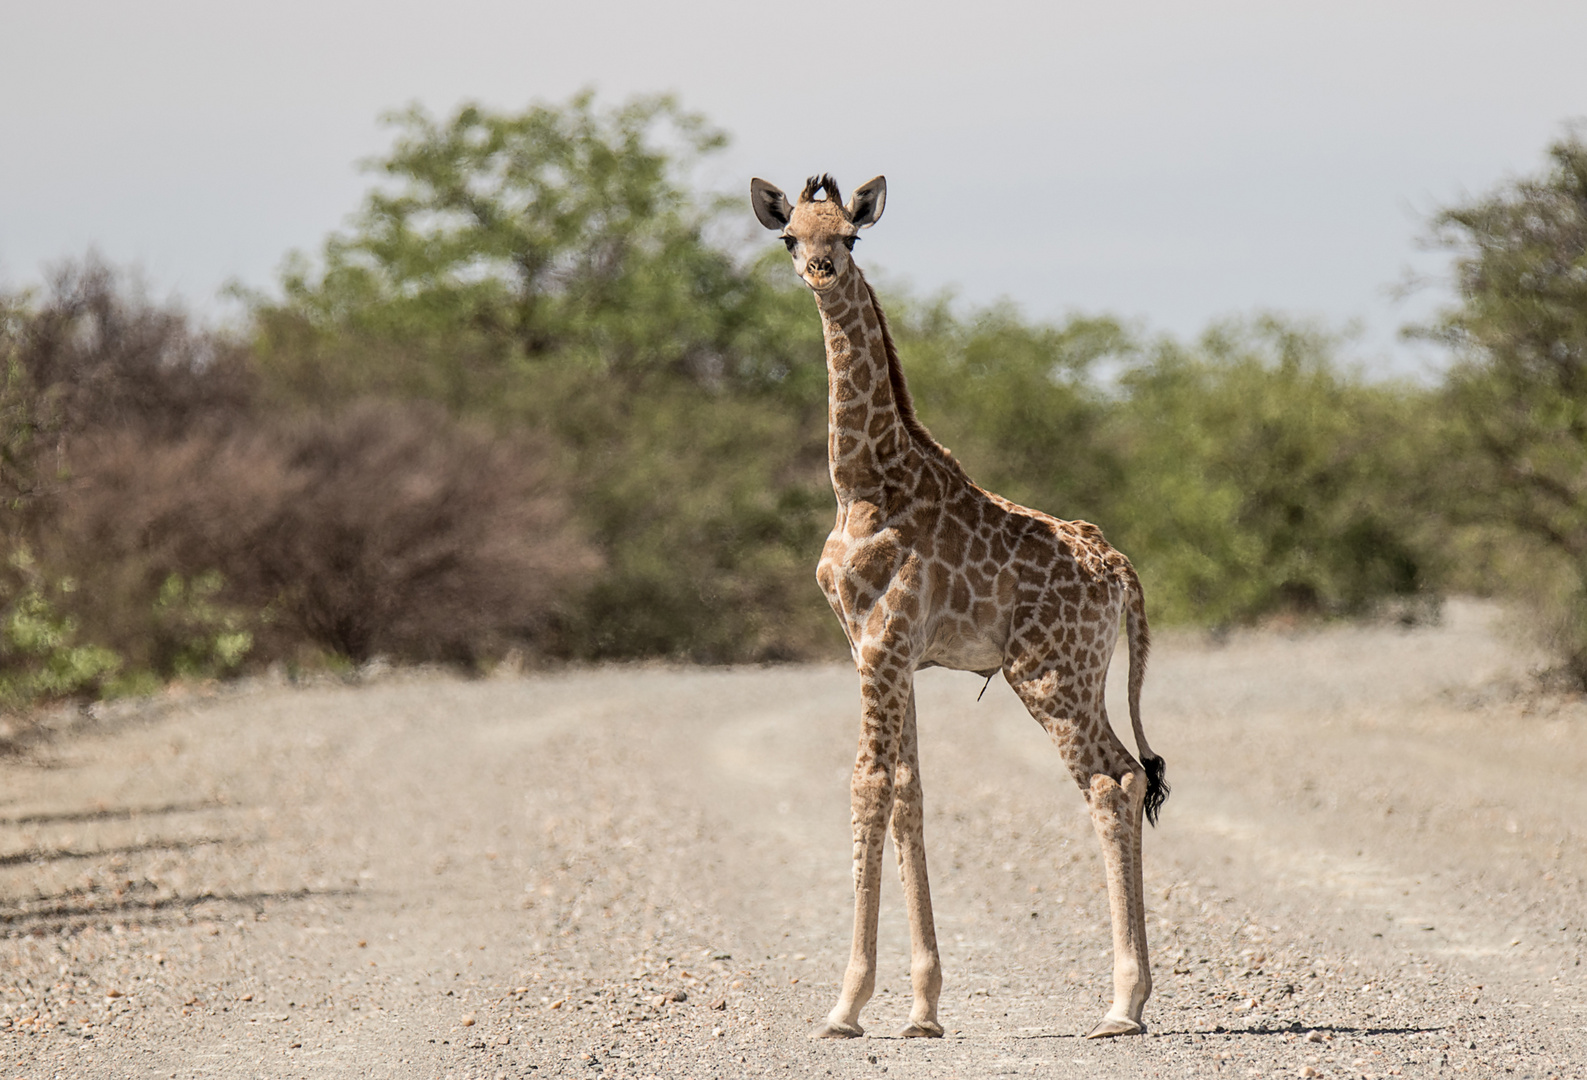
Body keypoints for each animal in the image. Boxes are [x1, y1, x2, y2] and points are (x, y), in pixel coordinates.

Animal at [749, 174, 1174, 1034]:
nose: (818, 270)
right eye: (788, 237)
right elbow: (908, 789)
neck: (861, 483)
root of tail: (1117, 565)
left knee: (1110, 781)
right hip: (1075, 674)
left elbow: (866, 784)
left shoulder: (877, 644)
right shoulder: (885, 652)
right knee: (1125, 778)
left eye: (849, 235)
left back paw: (1121, 1004)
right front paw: (921, 1004)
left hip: (1048, 673)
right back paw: (1130, 997)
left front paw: (846, 1003)